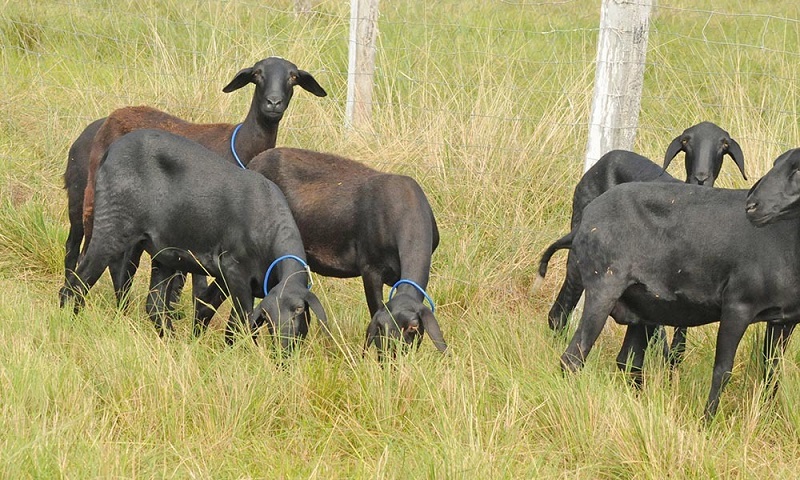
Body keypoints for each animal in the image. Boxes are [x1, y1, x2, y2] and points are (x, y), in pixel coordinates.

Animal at [59, 129, 329, 348]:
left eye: (299, 310)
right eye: (270, 318)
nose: (284, 350)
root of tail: (109, 152)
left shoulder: (226, 277)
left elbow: (206, 307)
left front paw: (197, 340)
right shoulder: (235, 271)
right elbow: (240, 321)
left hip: (163, 252)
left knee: (153, 305)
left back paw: (171, 341)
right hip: (113, 227)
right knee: (78, 283)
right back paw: (68, 323)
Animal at [61, 56, 327, 305]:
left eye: (293, 77)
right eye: (257, 73)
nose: (273, 103)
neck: (241, 145)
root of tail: (112, 116)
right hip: (89, 202)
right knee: (82, 252)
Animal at [192, 147, 448, 357]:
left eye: (414, 327)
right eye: (380, 330)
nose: (392, 361)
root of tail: (252, 163)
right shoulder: (371, 269)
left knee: (208, 301)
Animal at [561, 173, 800, 420]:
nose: (753, 206)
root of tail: (585, 221)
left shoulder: (783, 320)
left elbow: (771, 371)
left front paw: (768, 415)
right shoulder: (737, 307)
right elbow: (722, 371)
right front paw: (706, 422)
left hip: (643, 308)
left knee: (628, 361)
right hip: (603, 289)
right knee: (573, 357)